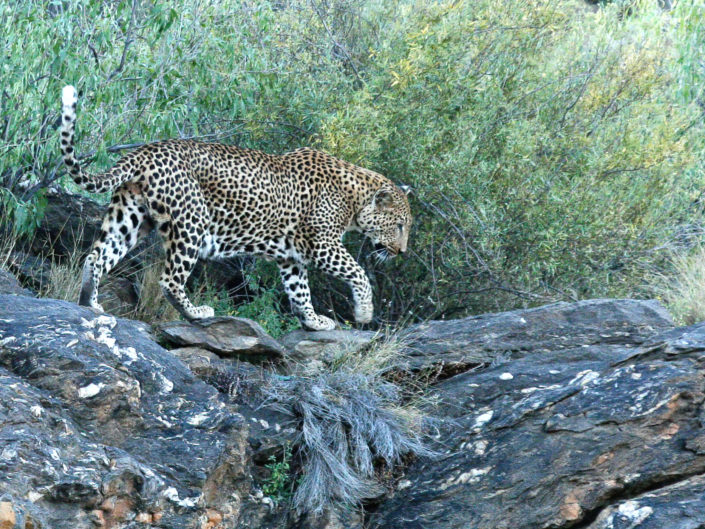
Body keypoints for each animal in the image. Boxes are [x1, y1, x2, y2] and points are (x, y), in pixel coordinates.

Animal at [59, 85, 412, 331]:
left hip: (130, 216)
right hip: (192, 222)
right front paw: (364, 312)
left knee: (96, 257)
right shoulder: (322, 244)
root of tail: (144, 151)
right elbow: (358, 272)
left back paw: (89, 305)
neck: (355, 197)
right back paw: (197, 312)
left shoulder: (292, 257)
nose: (403, 252)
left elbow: (300, 292)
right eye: (399, 226)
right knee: (170, 279)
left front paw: (314, 322)